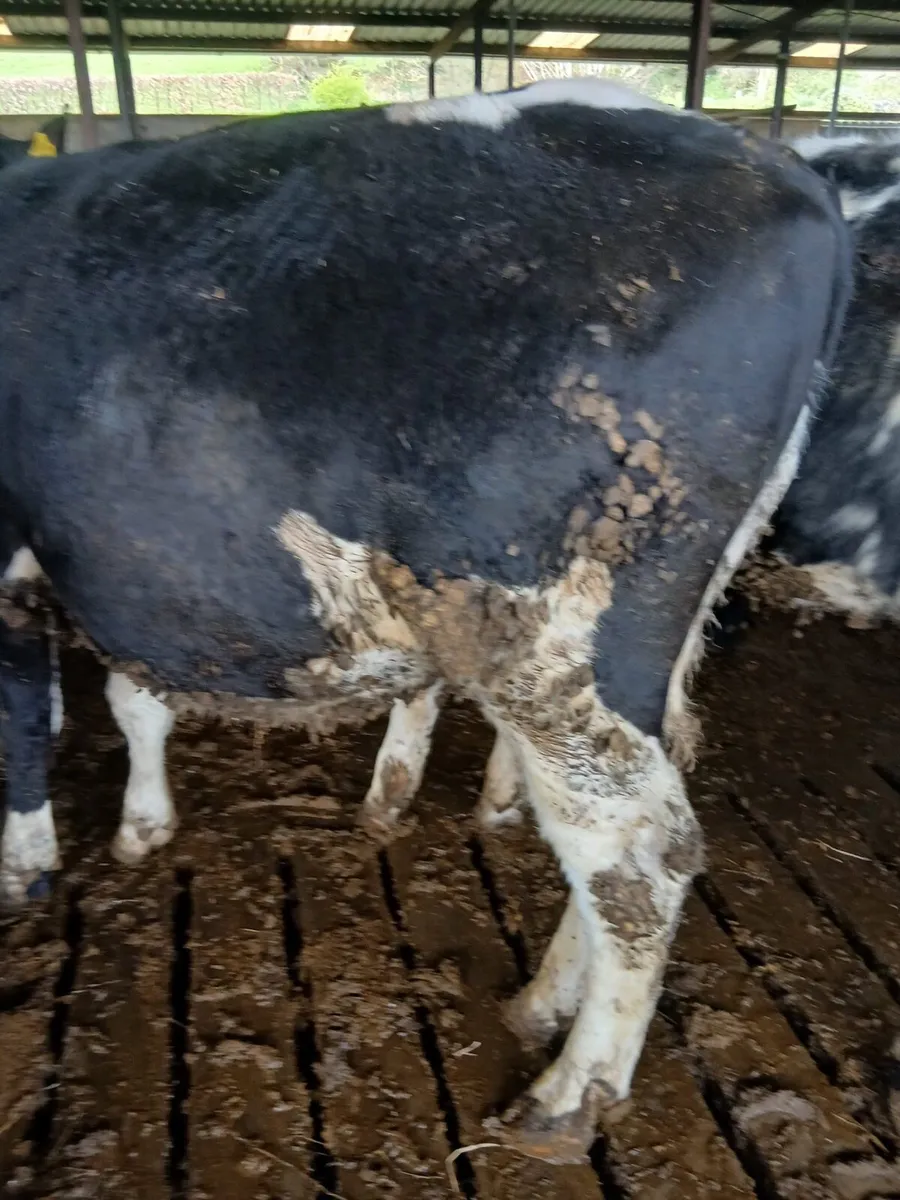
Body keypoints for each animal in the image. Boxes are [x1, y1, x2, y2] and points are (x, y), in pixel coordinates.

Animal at [0, 79, 850, 1158]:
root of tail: (785, 170)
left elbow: (24, 719)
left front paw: (26, 866)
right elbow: (131, 697)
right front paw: (141, 826)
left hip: (554, 640)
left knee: (636, 848)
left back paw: (568, 1097)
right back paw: (543, 1002)